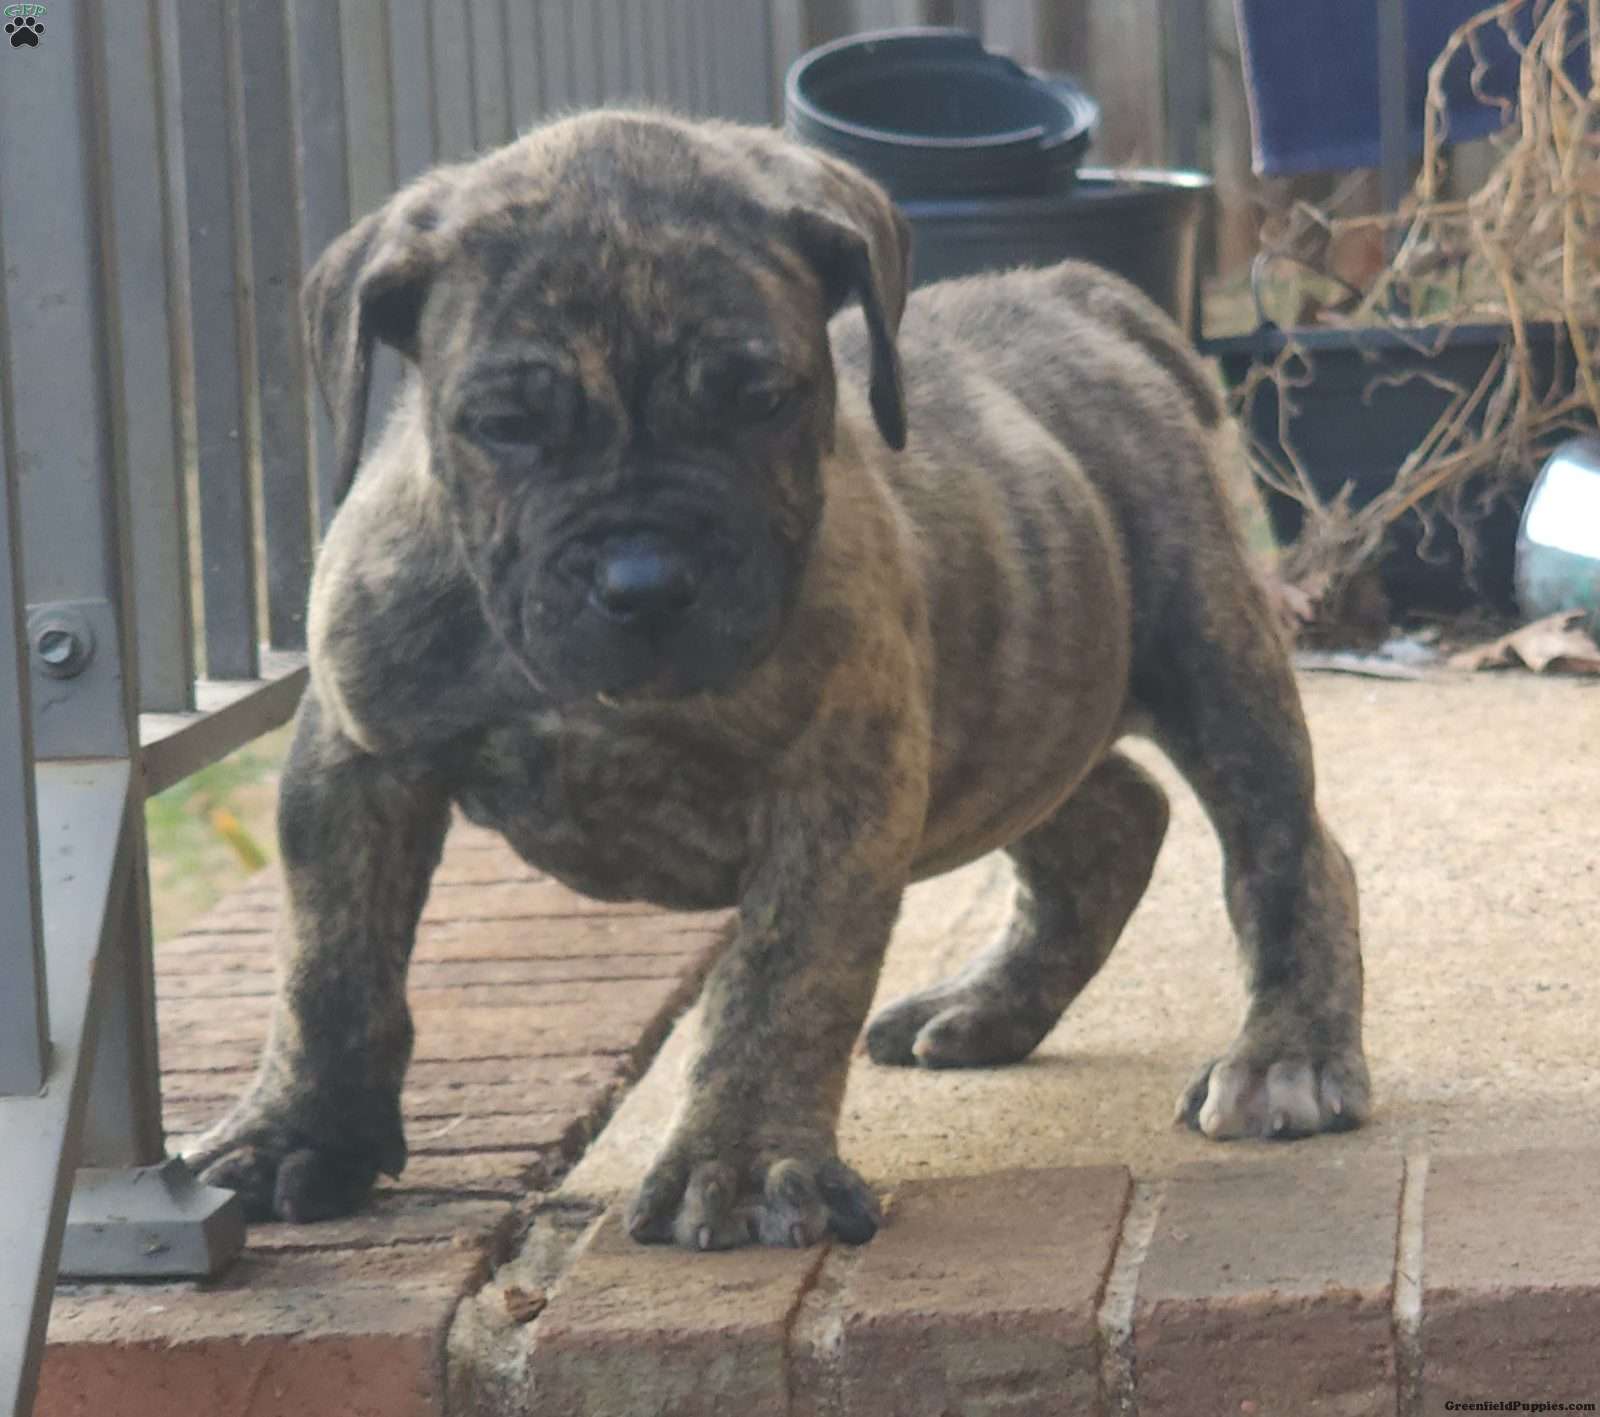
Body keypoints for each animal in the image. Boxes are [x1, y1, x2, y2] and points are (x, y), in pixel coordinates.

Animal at [187, 111, 1369, 1250]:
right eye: (506, 426)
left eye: (759, 400)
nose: (644, 580)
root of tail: (1070, 292)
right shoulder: (355, 759)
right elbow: (329, 963)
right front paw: (295, 1134)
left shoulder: (838, 785)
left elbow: (780, 978)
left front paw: (743, 1162)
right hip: (1006, 712)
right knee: (1111, 819)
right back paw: (986, 1007)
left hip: (1207, 656)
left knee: (1284, 851)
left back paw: (1289, 1052)